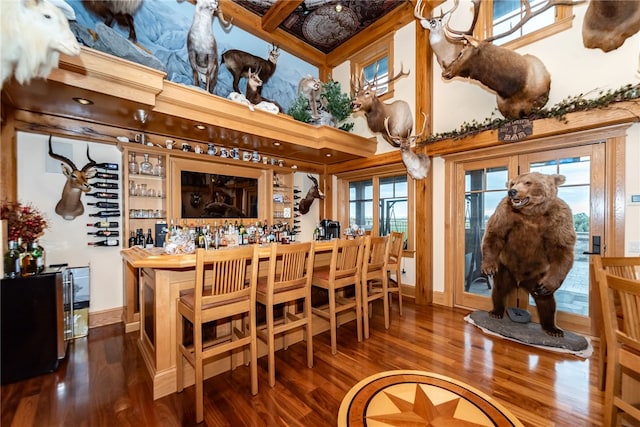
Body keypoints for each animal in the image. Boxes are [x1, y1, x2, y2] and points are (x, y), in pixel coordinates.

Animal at [482, 171, 576, 338]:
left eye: (528, 182)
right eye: (513, 183)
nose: (512, 192)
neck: (531, 213)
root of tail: (519, 281)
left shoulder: (558, 217)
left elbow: (561, 248)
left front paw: (547, 286)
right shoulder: (505, 213)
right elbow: (495, 233)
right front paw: (488, 268)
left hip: (537, 276)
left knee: (546, 302)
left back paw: (553, 329)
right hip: (505, 269)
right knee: (499, 289)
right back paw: (496, 311)